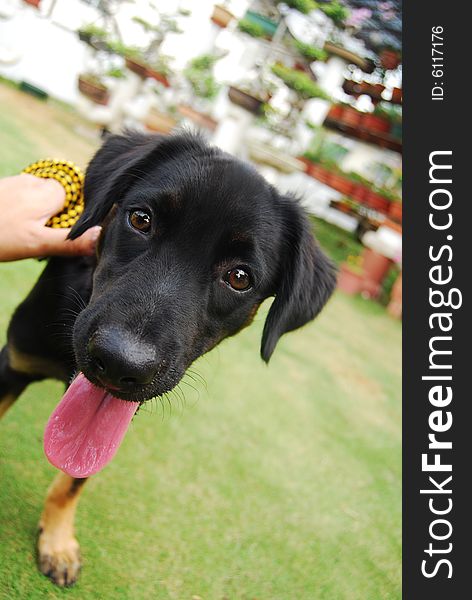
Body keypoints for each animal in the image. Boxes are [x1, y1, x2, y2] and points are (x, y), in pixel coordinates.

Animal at [0, 132, 336, 584]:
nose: (120, 363)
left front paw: (57, 541)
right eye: (141, 220)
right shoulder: (14, 361)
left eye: (240, 277)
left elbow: (75, 476)